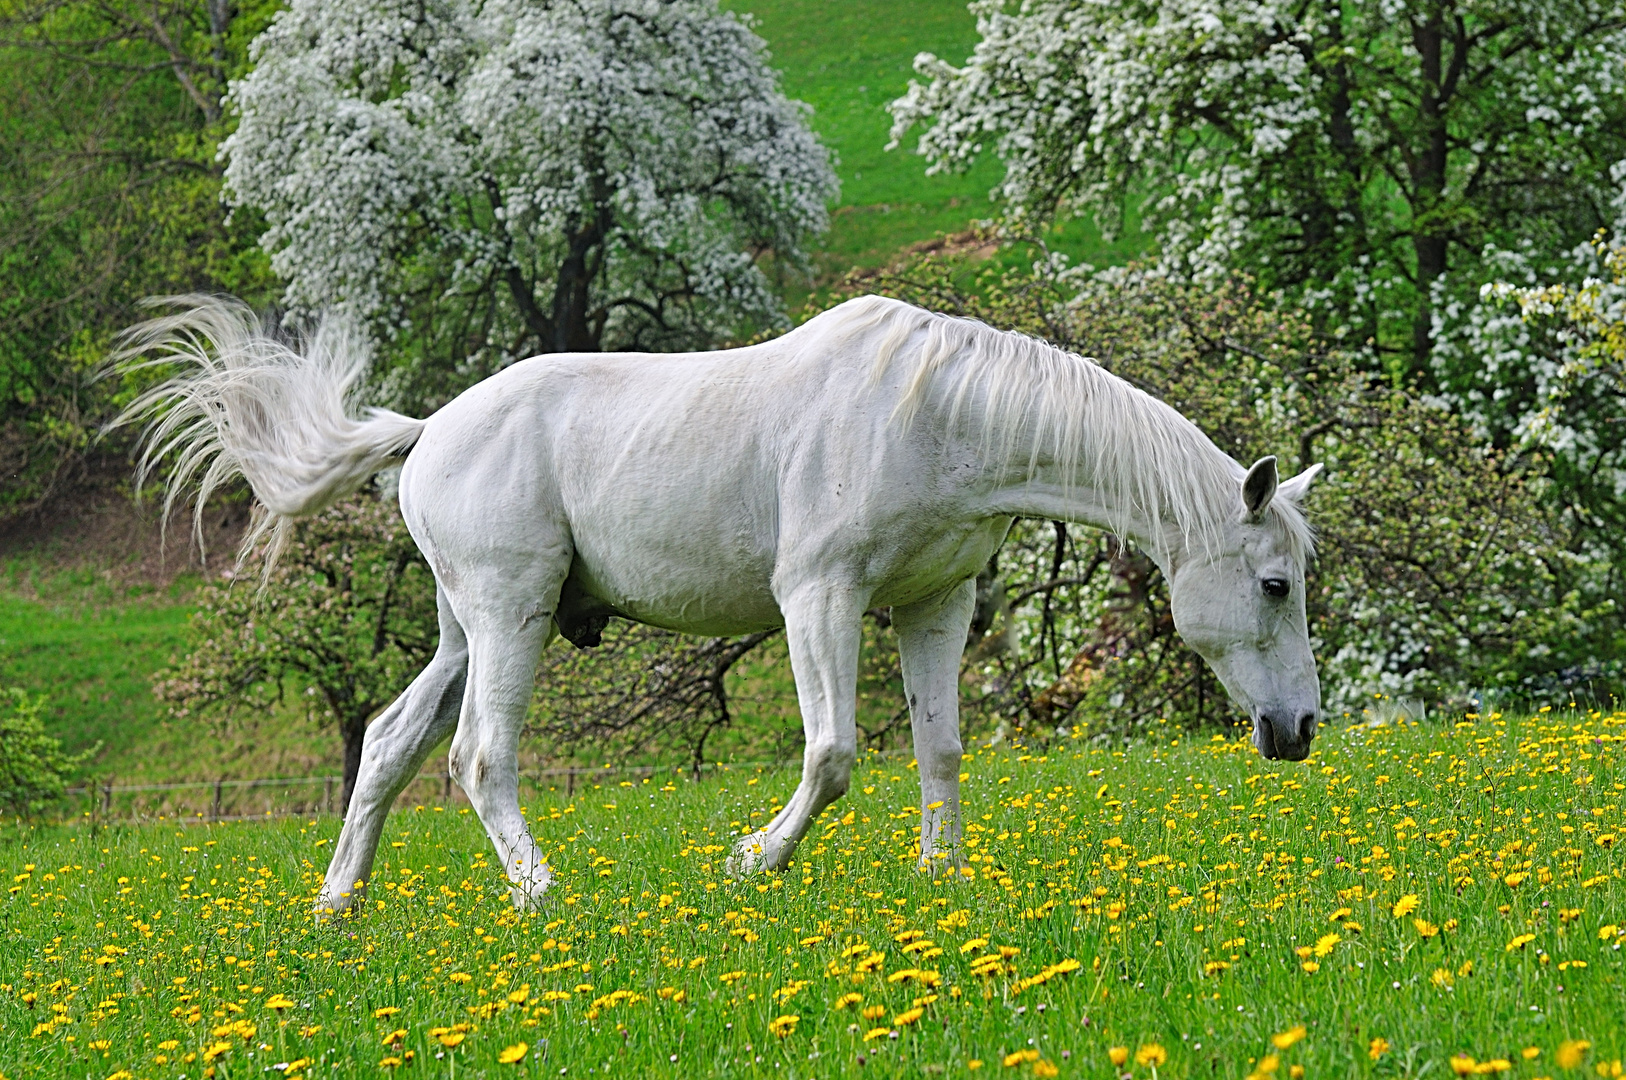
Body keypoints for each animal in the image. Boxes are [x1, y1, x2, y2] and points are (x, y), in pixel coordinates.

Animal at [117, 292, 1320, 910]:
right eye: (1274, 583)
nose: (1301, 730)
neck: (938, 414)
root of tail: (427, 429)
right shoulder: (818, 600)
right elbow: (832, 756)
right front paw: (753, 860)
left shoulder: (933, 607)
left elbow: (939, 751)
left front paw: (940, 881)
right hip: (512, 617)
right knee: (479, 758)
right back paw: (541, 897)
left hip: (466, 630)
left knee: (388, 744)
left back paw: (341, 905)